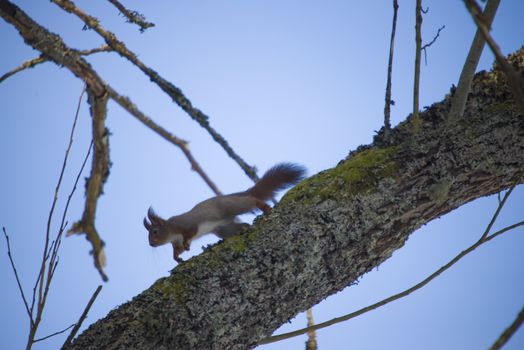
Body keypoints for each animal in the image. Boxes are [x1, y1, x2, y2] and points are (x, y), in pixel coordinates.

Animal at [143, 163, 308, 262]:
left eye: (155, 231)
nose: (151, 244)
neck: (172, 231)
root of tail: (230, 196)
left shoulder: (188, 224)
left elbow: (190, 233)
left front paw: (186, 243)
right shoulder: (175, 242)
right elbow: (178, 250)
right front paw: (176, 258)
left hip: (232, 206)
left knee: (251, 200)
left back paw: (263, 207)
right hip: (223, 228)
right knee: (236, 227)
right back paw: (244, 228)